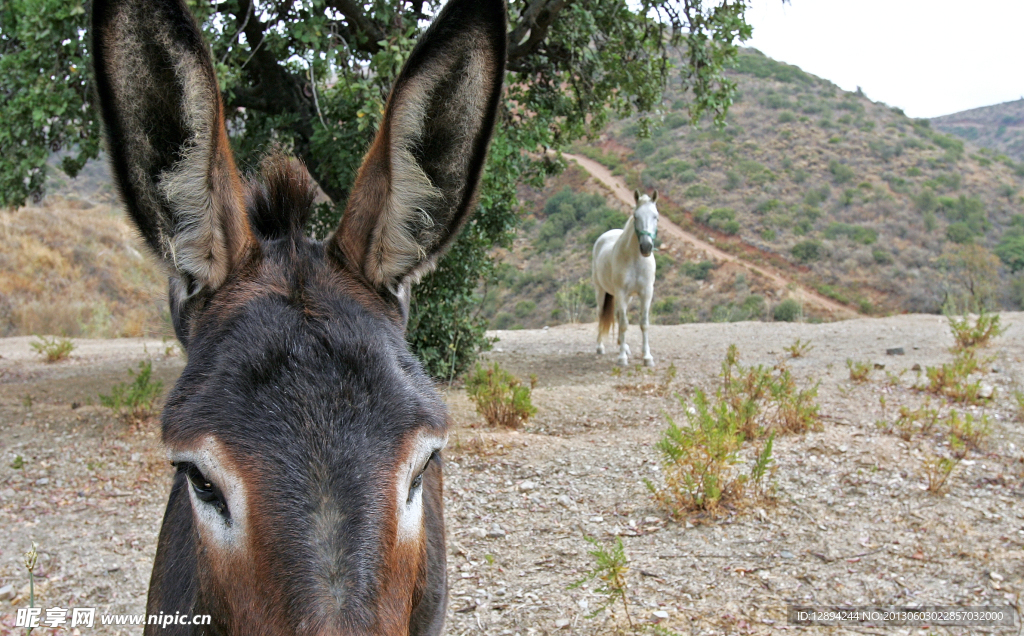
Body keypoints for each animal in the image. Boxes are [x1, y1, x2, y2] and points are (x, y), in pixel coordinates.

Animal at [598, 188, 659, 364]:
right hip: (601, 291)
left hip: (627, 297)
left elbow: (644, 324)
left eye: (656, 216)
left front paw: (647, 357)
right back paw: (600, 347)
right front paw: (622, 358)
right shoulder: (621, 292)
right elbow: (624, 324)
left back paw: (623, 346)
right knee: (601, 314)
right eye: (636, 216)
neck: (635, 260)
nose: (646, 247)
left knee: (618, 315)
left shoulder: (646, 293)